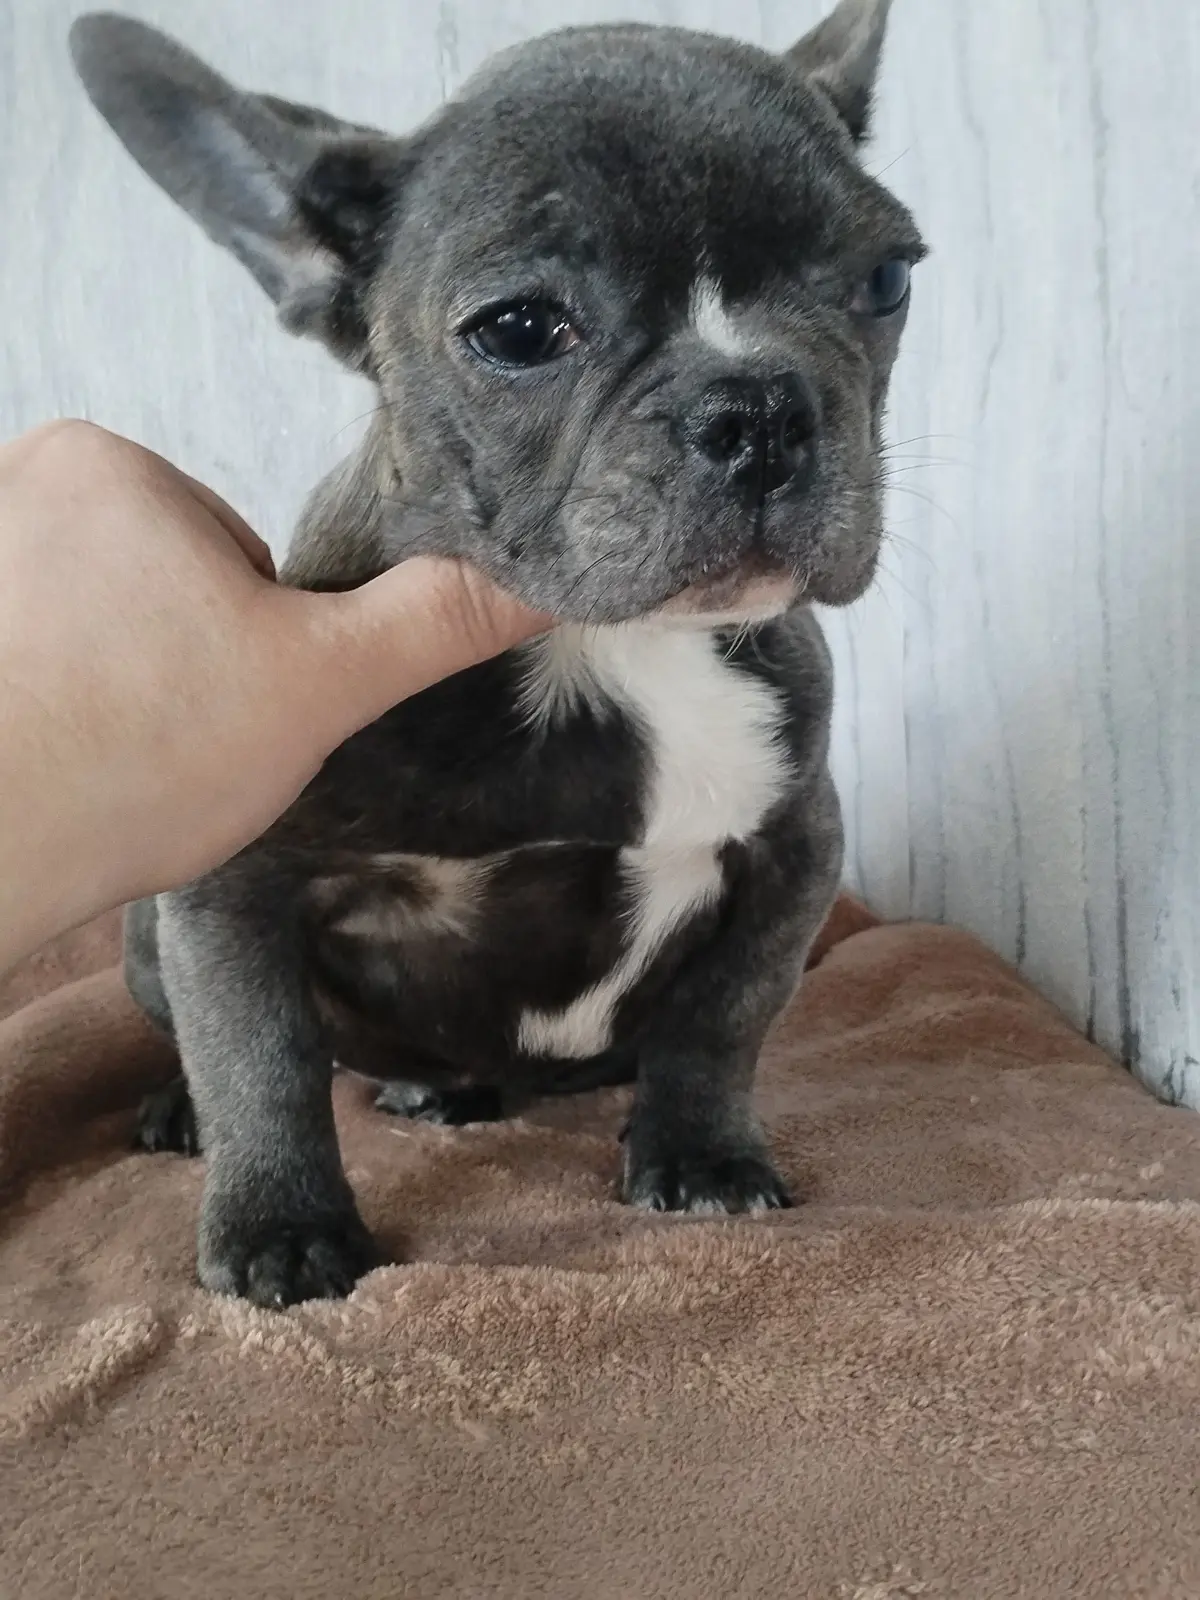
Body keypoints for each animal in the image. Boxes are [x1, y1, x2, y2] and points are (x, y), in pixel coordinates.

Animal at [71, 0, 923, 1308]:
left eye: (886, 278)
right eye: (519, 330)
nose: (759, 408)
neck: (613, 648)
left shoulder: (795, 845)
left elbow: (723, 1019)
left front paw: (701, 1152)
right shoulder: (230, 876)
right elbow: (259, 1053)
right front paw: (282, 1225)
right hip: (140, 933)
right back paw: (206, 1108)